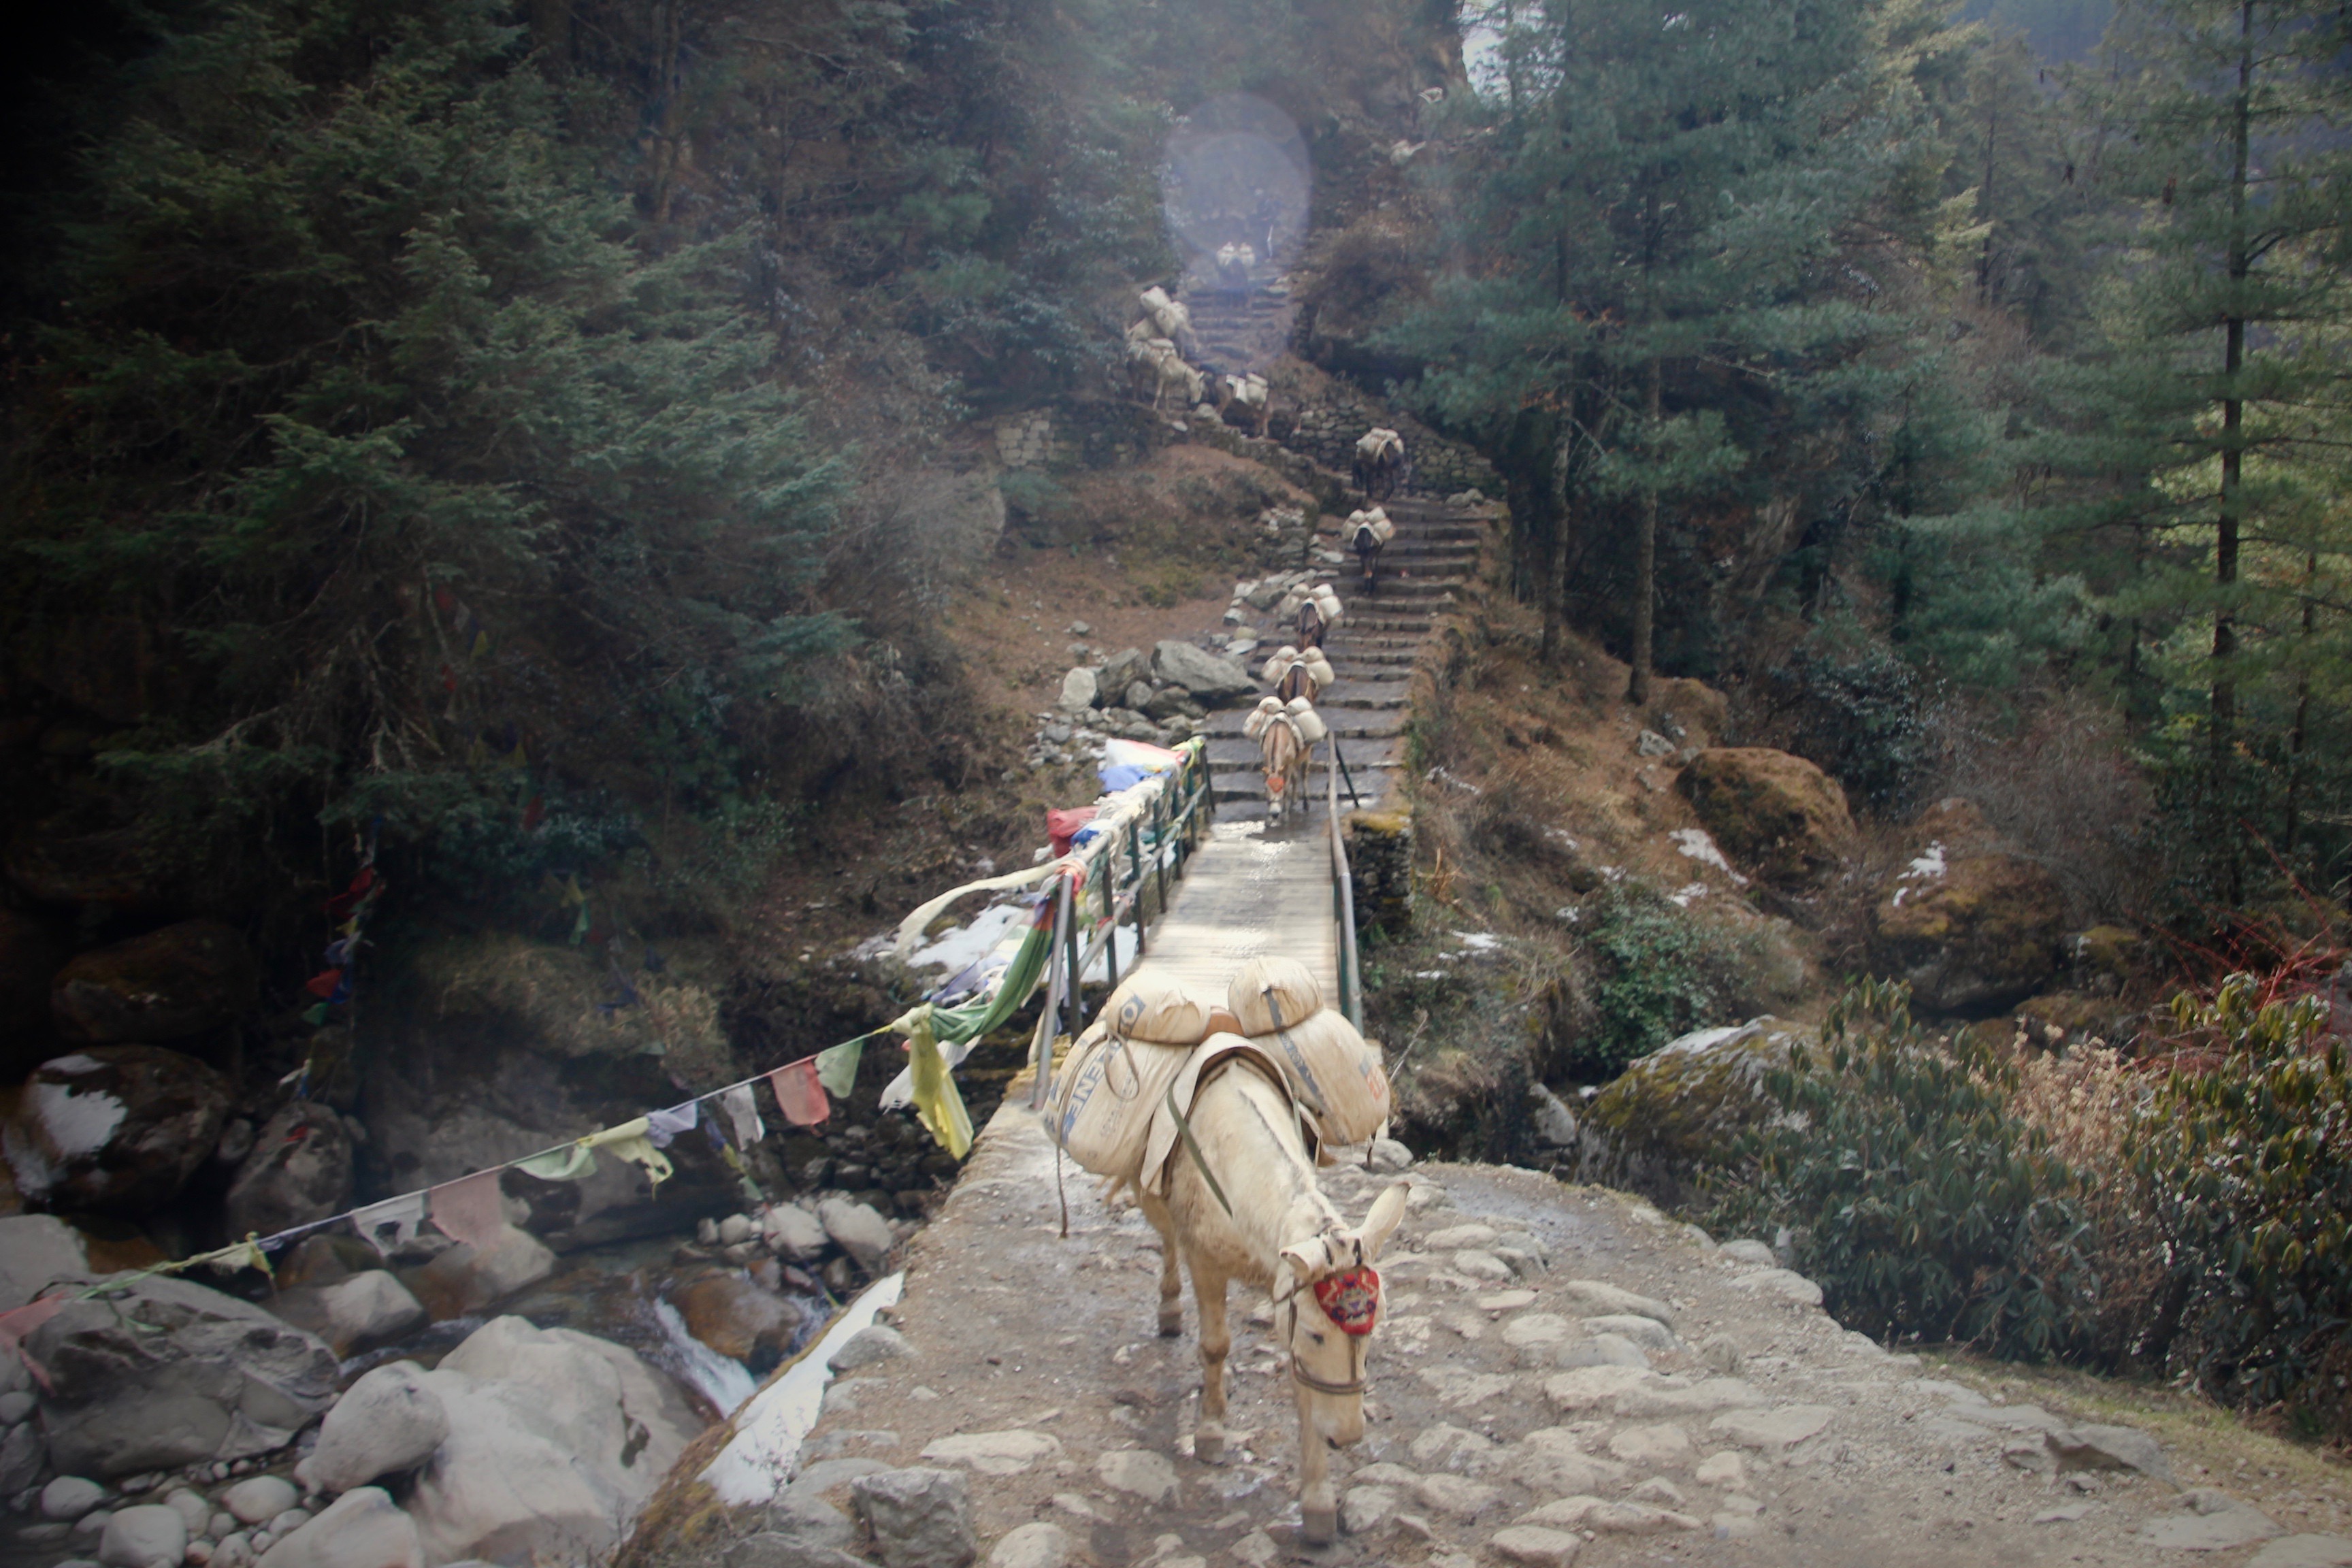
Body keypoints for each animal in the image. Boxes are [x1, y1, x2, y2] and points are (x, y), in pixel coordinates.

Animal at [1132, 1060, 1408, 1545]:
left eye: (1374, 1332)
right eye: (1318, 1334)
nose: (1347, 1437)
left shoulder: (1285, 1290)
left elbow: (1303, 1388)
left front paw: (1318, 1503)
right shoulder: (1204, 1261)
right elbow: (1215, 1346)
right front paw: (1210, 1433)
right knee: (1165, 1237)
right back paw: (1169, 1312)